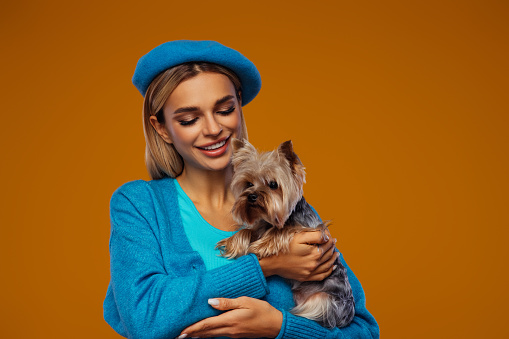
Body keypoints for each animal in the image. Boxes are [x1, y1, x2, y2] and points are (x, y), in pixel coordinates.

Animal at [216, 139, 356, 330]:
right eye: (249, 184)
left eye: (273, 184)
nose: (252, 196)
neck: (271, 220)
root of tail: (348, 317)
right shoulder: (260, 226)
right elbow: (248, 230)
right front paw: (232, 242)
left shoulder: (314, 231)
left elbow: (283, 229)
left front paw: (261, 246)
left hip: (323, 302)